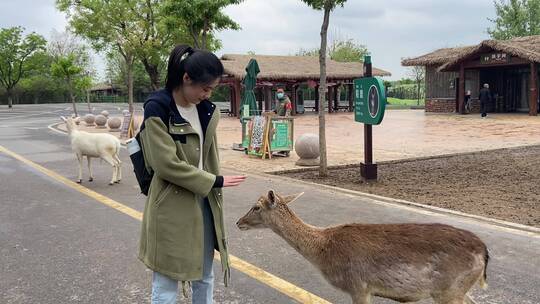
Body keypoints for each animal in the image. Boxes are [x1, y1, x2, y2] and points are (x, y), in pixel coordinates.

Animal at [236, 191, 490, 302]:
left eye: (256, 207)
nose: (238, 222)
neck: (323, 251)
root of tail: (484, 252)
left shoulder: (358, 286)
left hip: (449, 290)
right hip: (458, 290)